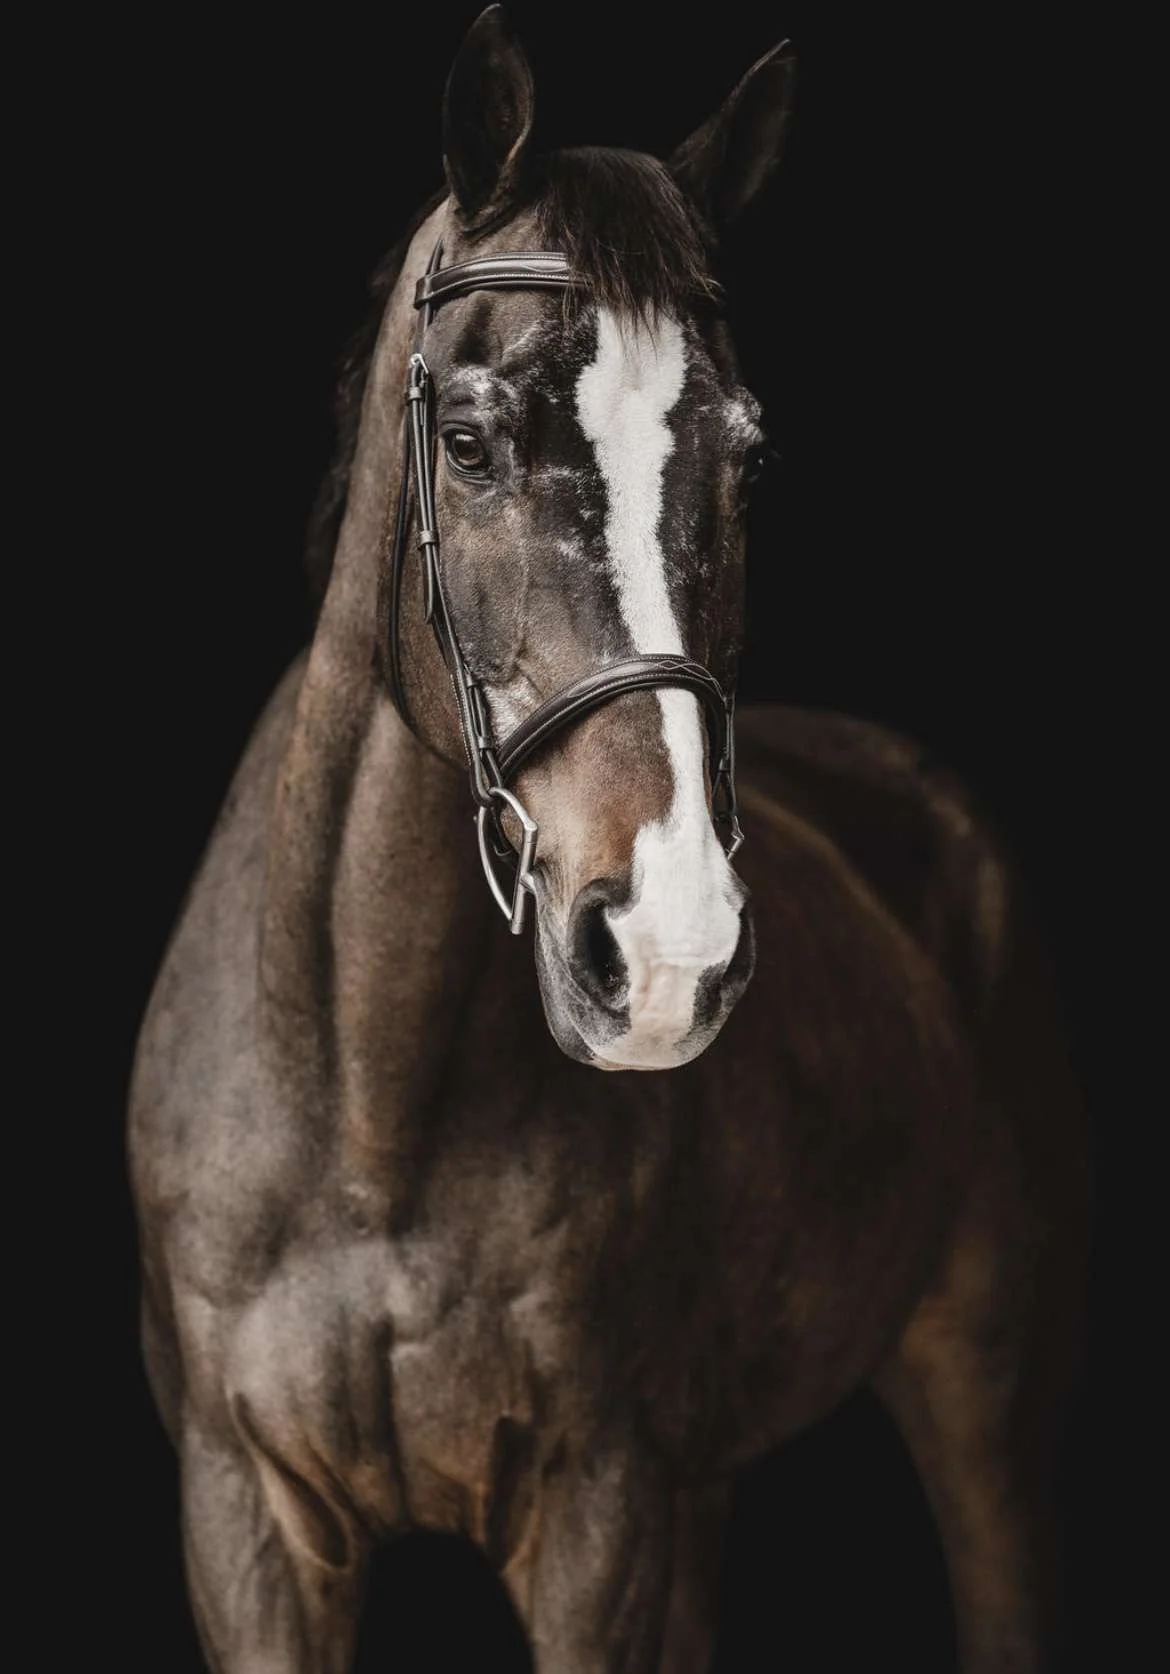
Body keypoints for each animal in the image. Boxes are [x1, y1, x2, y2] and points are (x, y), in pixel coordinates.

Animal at [128, 9, 1089, 1670]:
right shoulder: (245, 1524)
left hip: (979, 1392)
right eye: (465, 438)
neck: (366, 1121)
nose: (664, 949)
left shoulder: (599, 1511)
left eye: (749, 456)